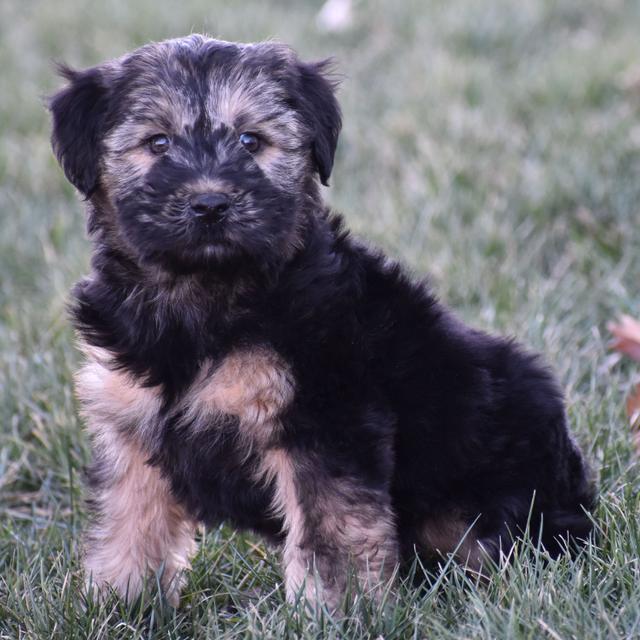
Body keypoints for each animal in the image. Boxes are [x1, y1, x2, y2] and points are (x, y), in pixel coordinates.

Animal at [48, 35, 596, 608]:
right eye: (157, 143)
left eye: (250, 140)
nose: (211, 203)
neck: (204, 297)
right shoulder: (131, 425)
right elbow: (130, 522)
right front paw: (119, 603)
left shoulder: (324, 421)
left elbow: (331, 535)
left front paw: (334, 612)